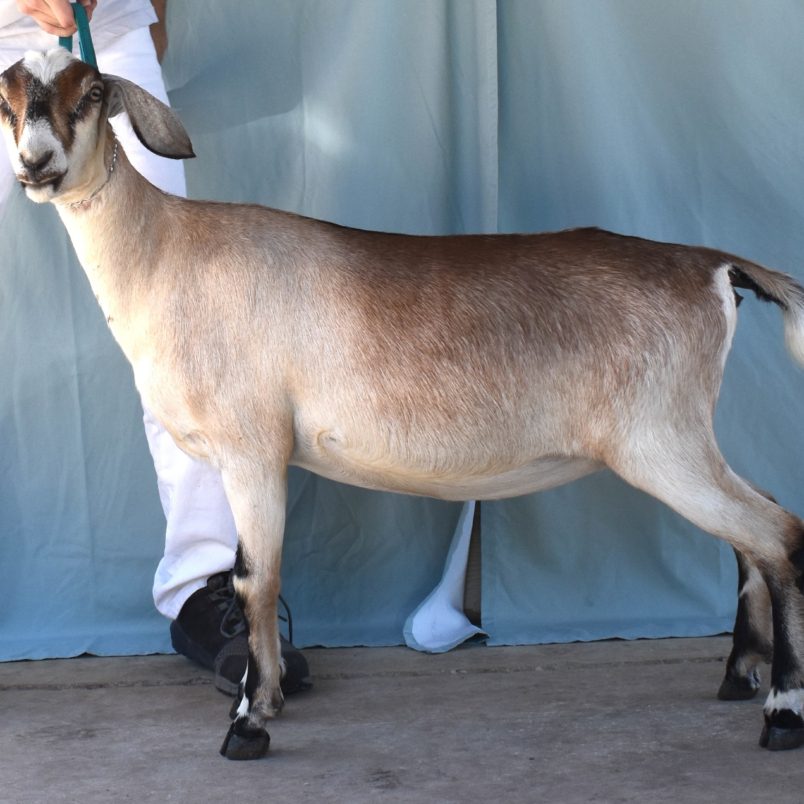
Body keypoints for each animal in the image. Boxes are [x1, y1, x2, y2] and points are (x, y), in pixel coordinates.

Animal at [1, 47, 804, 756]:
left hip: (660, 439)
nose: (36, 164)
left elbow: (257, 579)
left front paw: (248, 725)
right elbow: (256, 577)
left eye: (91, 94)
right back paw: (740, 674)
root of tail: (715, 266)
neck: (168, 251)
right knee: (755, 527)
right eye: (9, 100)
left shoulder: (252, 447)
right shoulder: (252, 456)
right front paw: (268, 697)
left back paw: (782, 712)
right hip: (683, 437)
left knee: (777, 532)